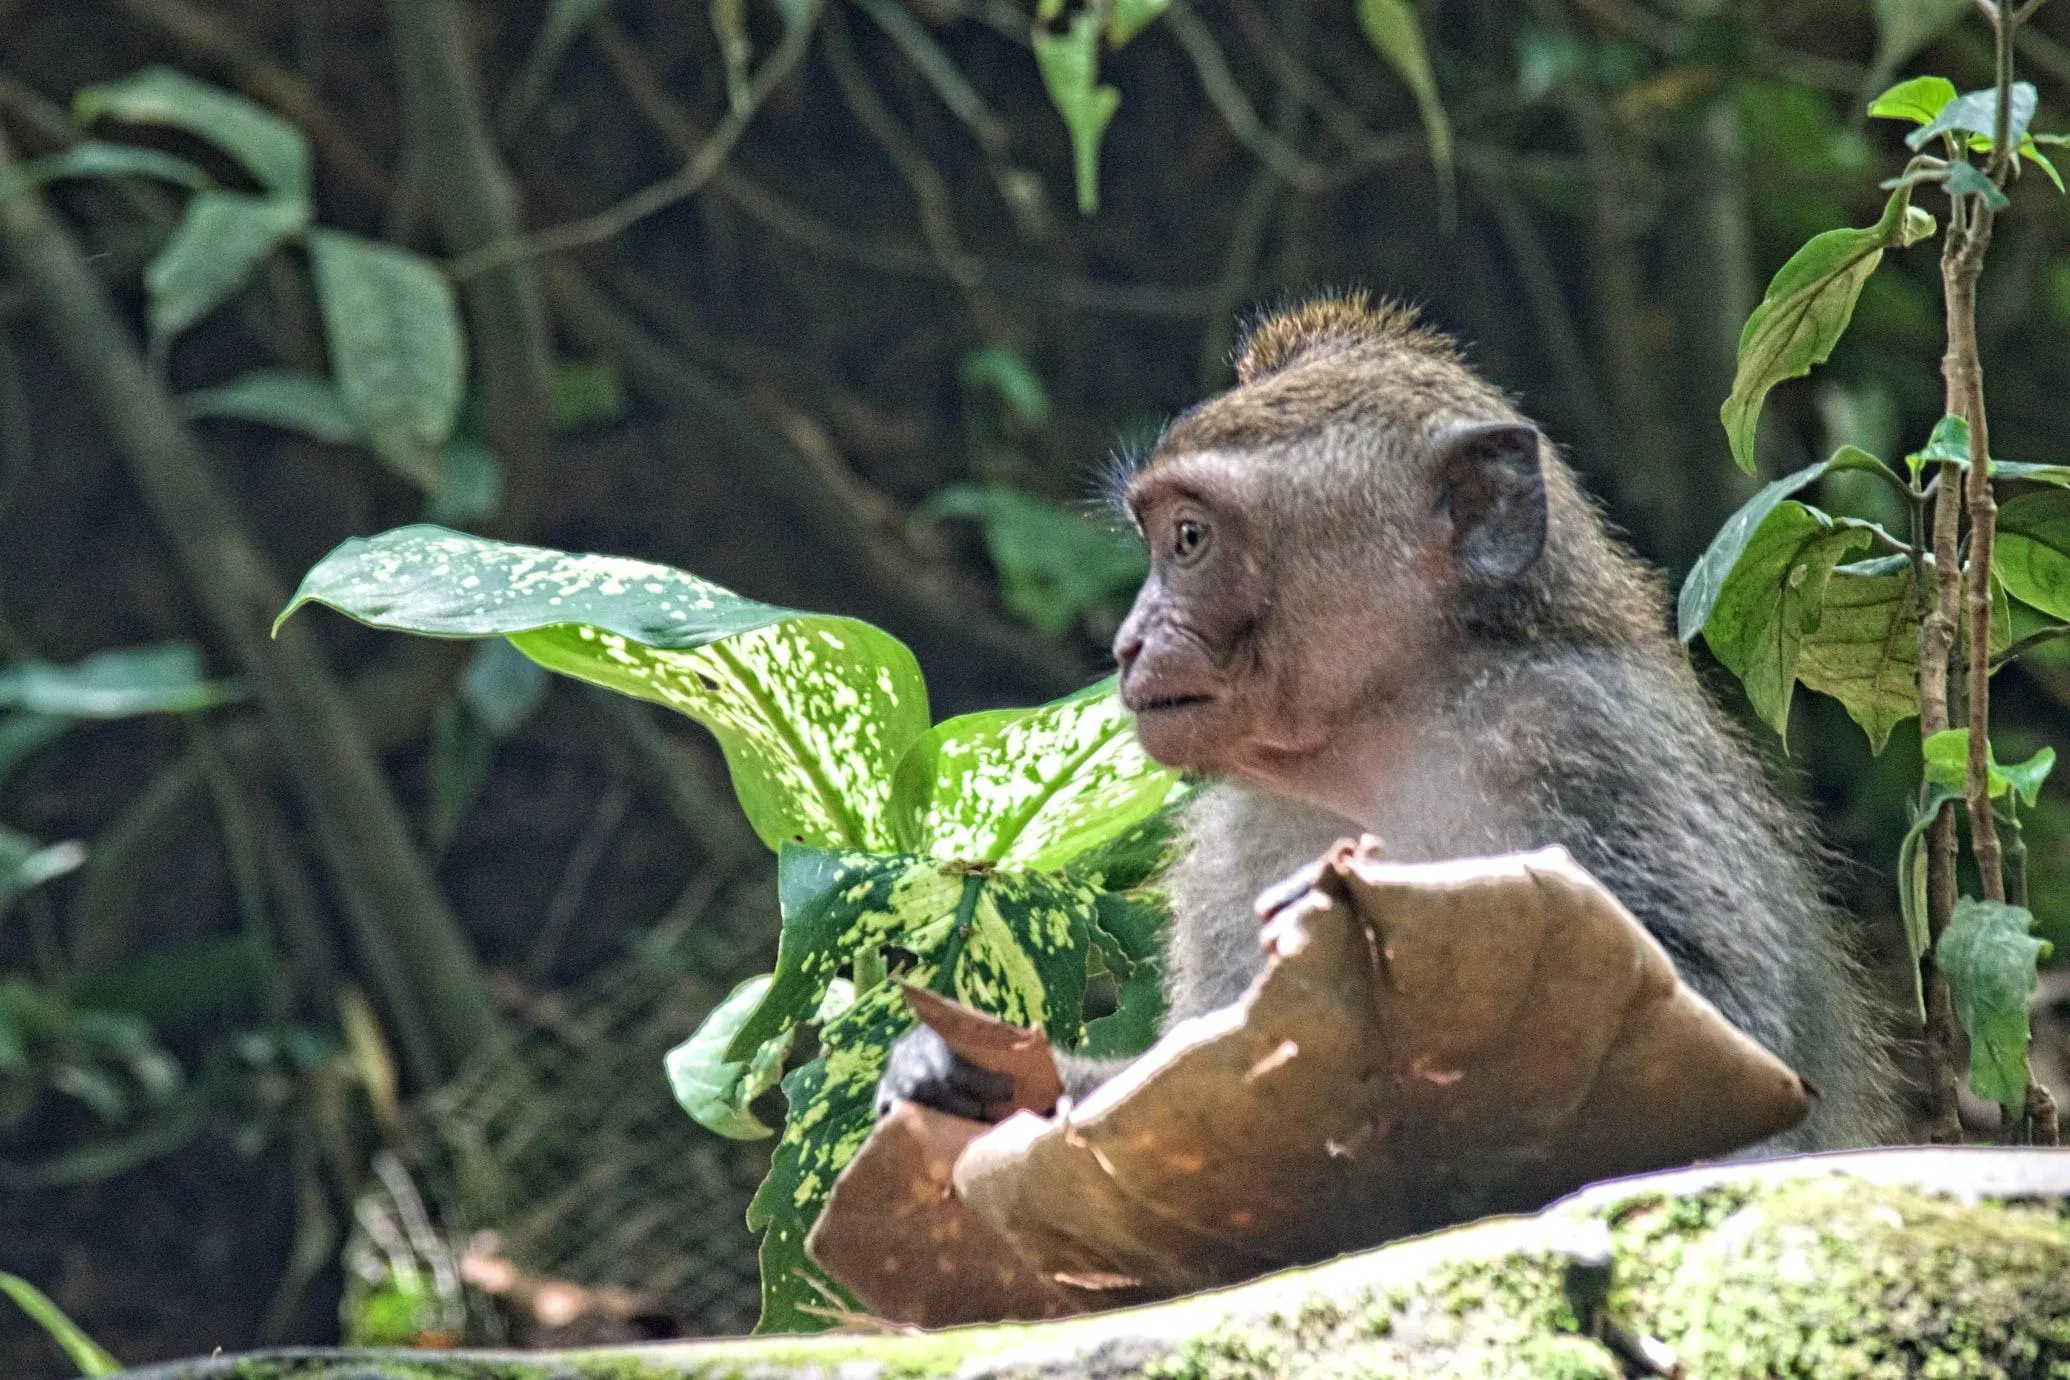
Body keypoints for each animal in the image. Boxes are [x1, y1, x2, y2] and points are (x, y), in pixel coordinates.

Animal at [877, 293, 1904, 1158]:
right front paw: (965, 1072)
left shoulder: (1582, 737)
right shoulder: (1232, 839)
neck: (1388, 737)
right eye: (1161, 539)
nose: (1130, 643)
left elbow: (1721, 1050)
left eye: (1190, 540)